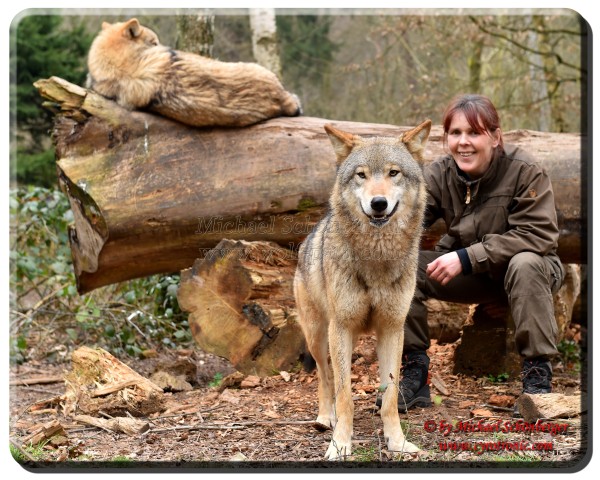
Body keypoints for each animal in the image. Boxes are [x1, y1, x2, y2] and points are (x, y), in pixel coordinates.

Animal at [296, 119, 432, 458]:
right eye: (361, 175)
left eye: (393, 173)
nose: (378, 203)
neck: (376, 259)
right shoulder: (341, 327)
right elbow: (345, 395)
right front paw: (340, 444)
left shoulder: (392, 328)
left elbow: (391, 396)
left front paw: (397, 442)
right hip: (320, 335)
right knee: (325, 377)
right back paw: (325, 417)